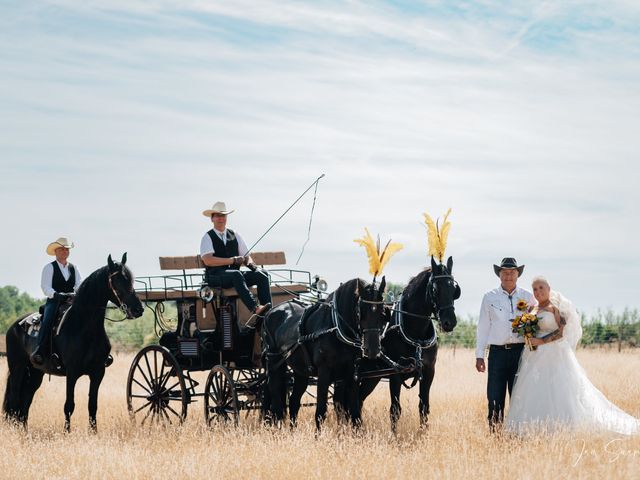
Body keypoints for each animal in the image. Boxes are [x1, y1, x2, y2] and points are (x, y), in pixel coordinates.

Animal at [2, 255, 144, 432]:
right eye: (117, 280)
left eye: (130, 279)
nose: (138, 309)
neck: (84, 326)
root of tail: (14, 326)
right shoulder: (72, 372)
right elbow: (69, 405)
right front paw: (67, 433)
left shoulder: (98, 372)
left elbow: (92, 405)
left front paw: (93, 433)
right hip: (18, 368)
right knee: (15, 399)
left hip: (35, 372)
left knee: (26, 400)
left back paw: (24, 431)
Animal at [264, 278, 388, 432]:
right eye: (361, 311)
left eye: (383, 312)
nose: (373, 350)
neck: (336, 327)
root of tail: (271, 311)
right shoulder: (324, 373)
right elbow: (321, 412)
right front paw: (318, 436)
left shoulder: (352, 374)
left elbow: (355, 413)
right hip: (274, 364)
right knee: (276, 402)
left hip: (301, 371)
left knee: (294, 401)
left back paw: (293, 431)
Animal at [360, 256, 460, 430]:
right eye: (435, 290)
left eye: (454, 290)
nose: (450, 322)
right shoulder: (395, 373)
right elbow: (395, 410)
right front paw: (394, 435)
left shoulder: (429, 372)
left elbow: (424, 407)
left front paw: (423, 433)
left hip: (371, 377)